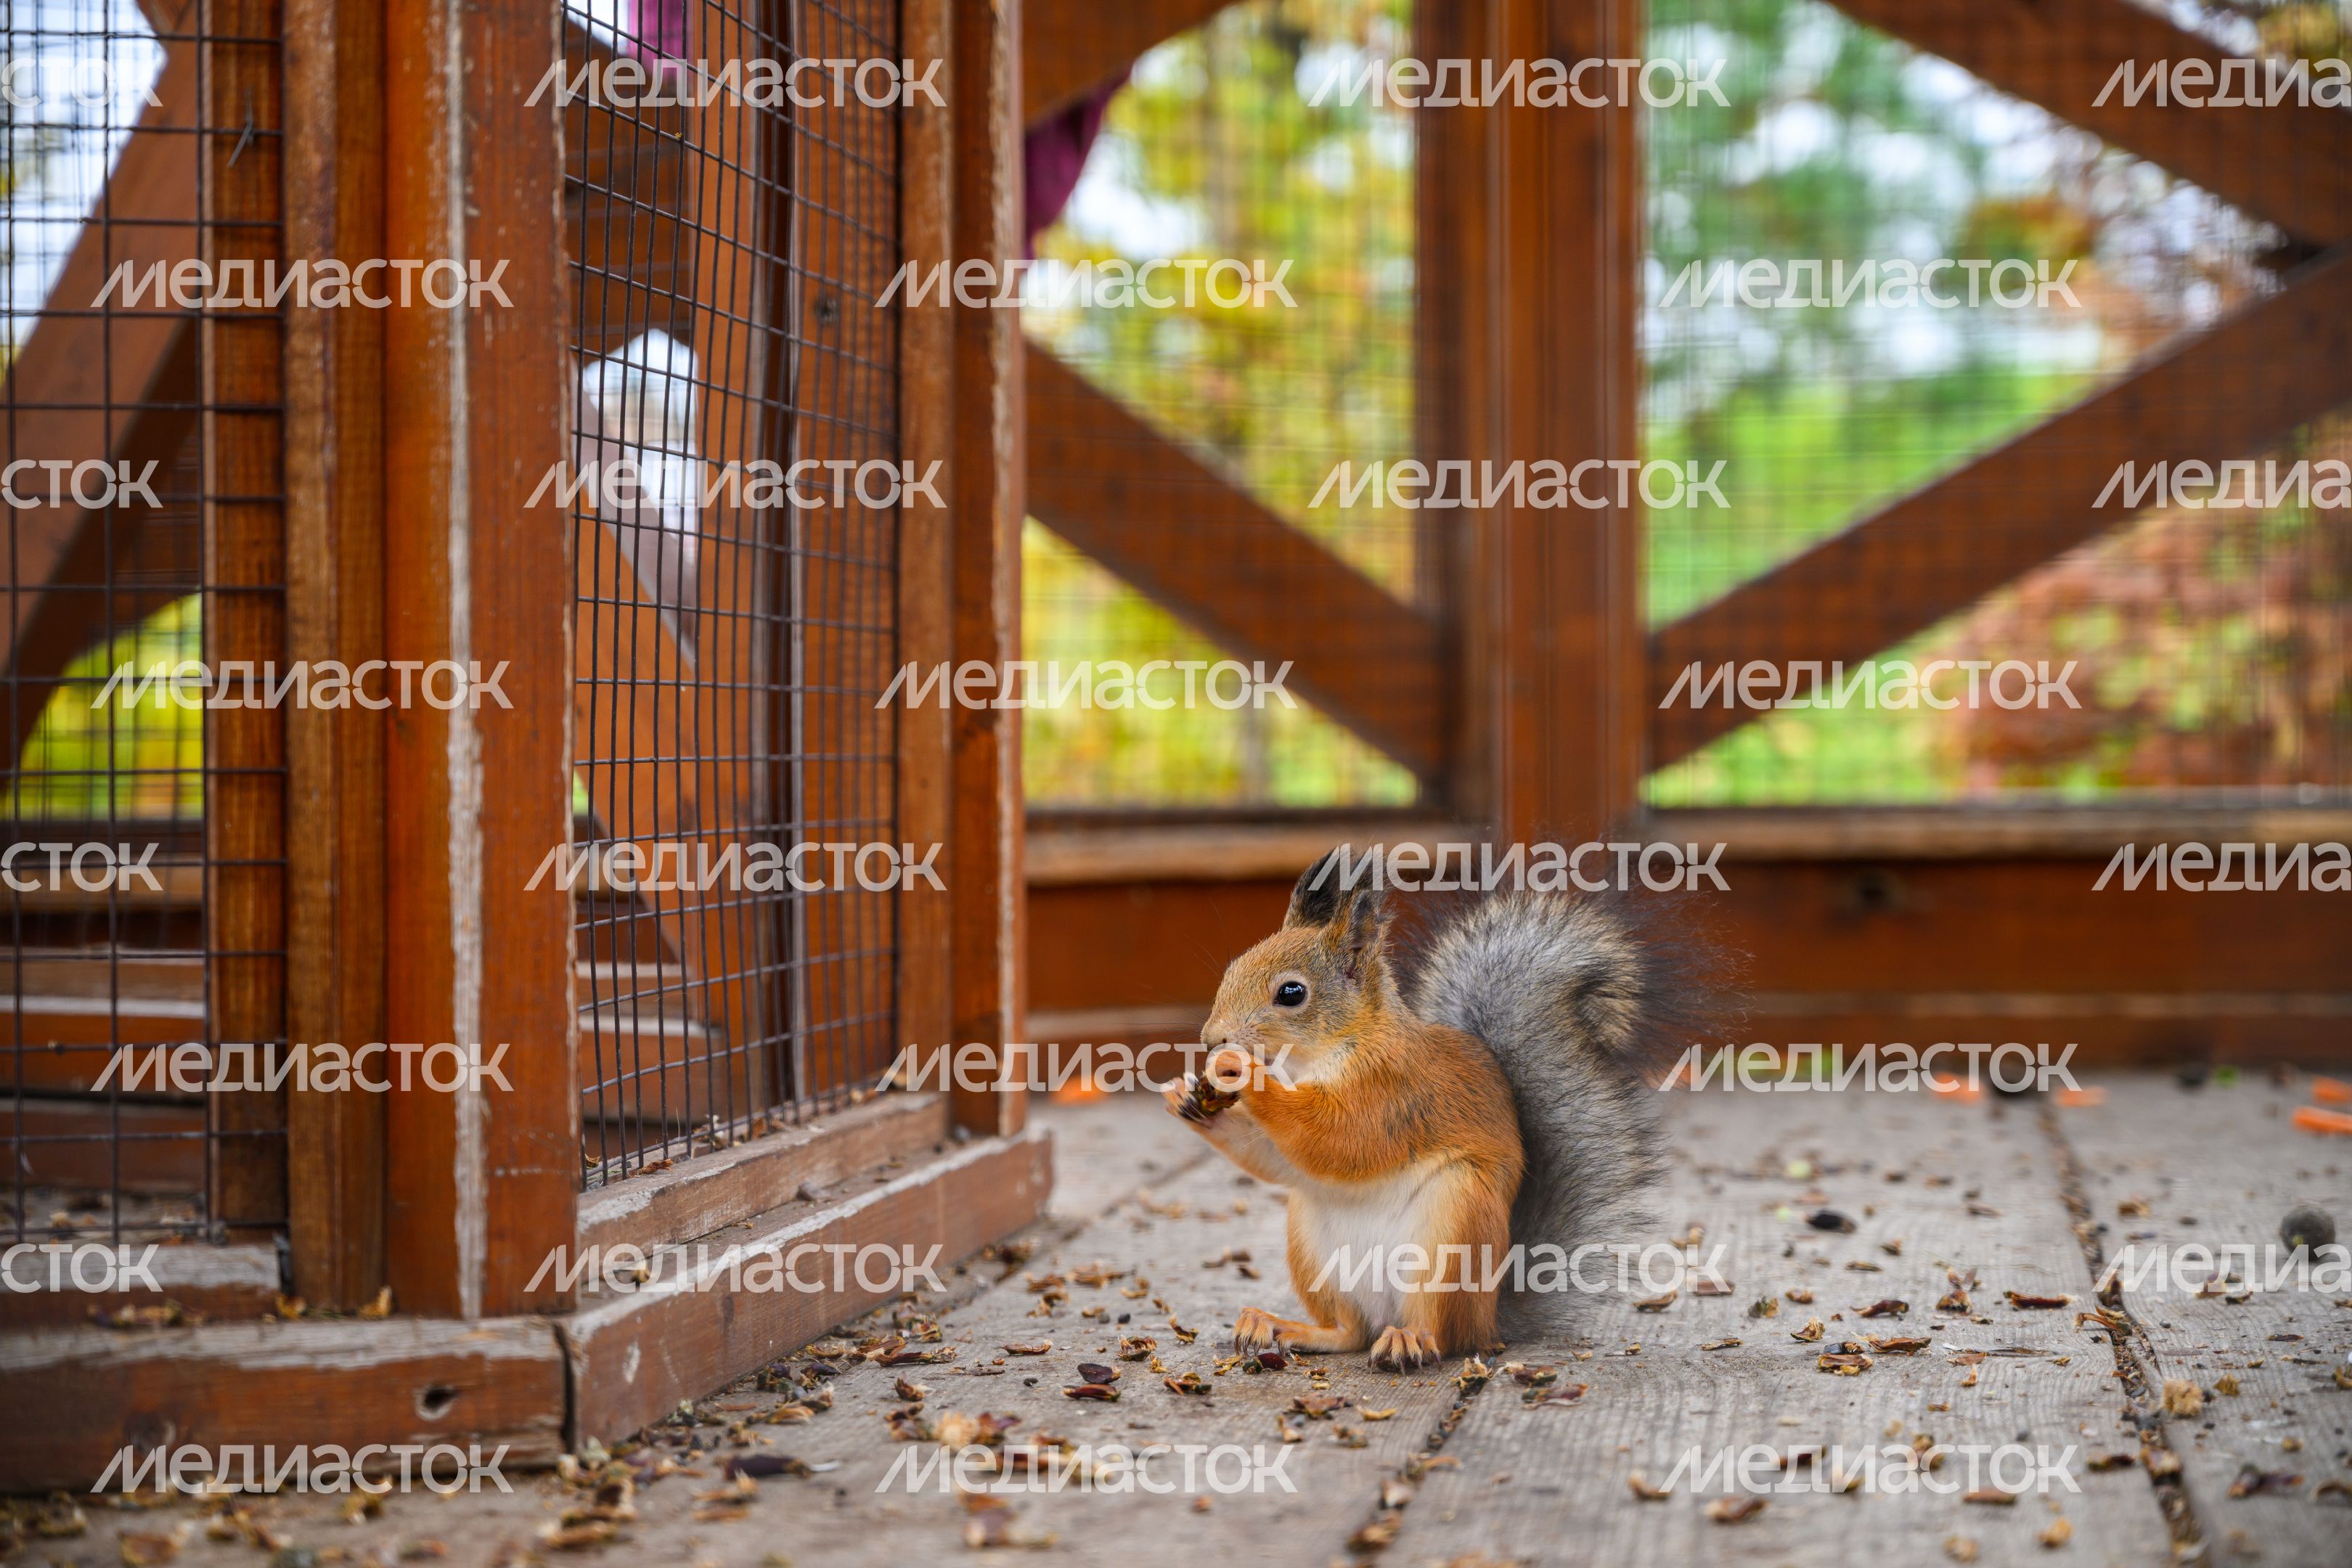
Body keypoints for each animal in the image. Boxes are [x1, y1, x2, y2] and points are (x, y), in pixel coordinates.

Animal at [1161, 848, 1695, 1368]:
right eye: (1233, 968)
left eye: (1291, 993)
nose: (1211, 1038)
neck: (1315, 1058)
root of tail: (1491, 1319)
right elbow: (1276, 1159)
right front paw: (1187, 1097)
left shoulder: (1396, 1091)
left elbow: (1340, 1138)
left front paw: (1243, 1071)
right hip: (1313, 1245)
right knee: (1352, 1333)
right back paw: (1281, 1326)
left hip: (1453, 1230)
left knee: (1444, 1334)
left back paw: (1408, 1341)